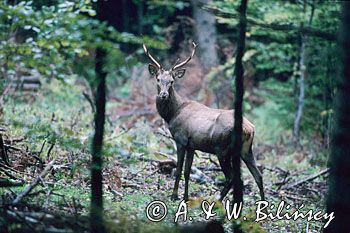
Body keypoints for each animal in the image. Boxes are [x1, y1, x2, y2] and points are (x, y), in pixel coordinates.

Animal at [144, 42, 264, 202]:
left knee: (232, 177)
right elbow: (187, 171)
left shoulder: (181, 140)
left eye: (171, 82)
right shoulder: (191, 145)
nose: (163, 95)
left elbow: (179, 170)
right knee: (258, 175)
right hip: (246, 149)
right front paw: (186, 197)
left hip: (222, 149)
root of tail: (249, 129)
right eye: (158, 79)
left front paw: (174, 196)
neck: (173, 113)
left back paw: (218, 201)